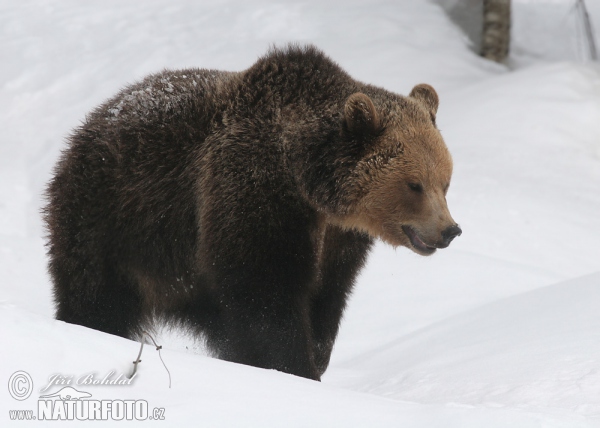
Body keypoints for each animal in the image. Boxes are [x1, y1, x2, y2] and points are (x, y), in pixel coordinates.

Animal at [44, 45, 462, 380]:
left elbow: (327, 296)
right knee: (98, 296)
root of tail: (90, 122)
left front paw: (316, 354)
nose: (449, 230)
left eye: (445, 181)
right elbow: (266, 296)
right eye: (414, 184)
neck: (308, 183)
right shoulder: (254, 194)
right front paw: (295, 367)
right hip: (113, 218)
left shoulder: (339, 241)